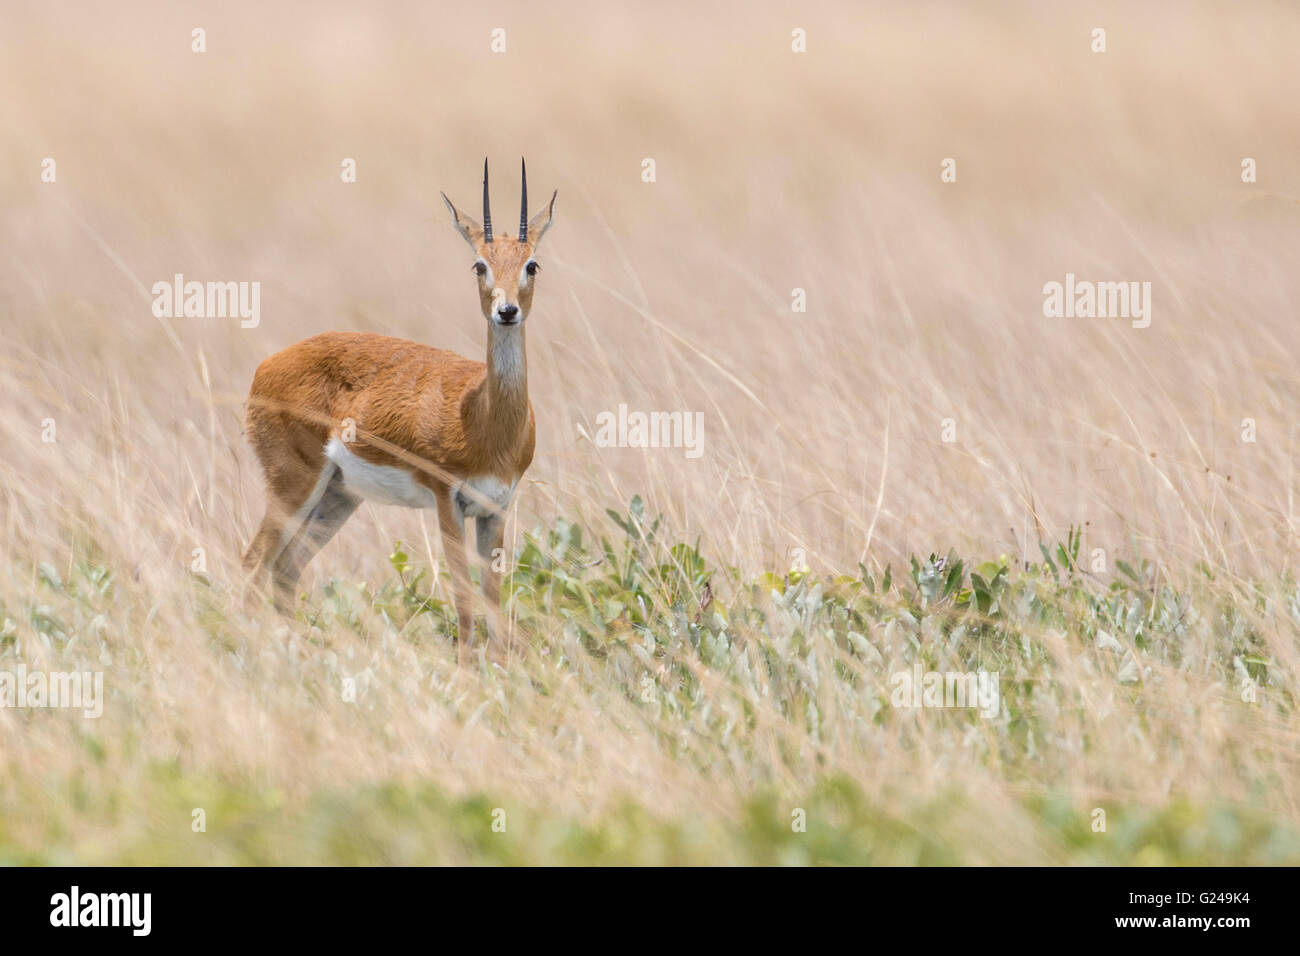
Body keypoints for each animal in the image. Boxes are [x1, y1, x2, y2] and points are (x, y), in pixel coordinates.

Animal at [241, 158, 556, 650]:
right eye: (479, 264)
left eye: (531, 264)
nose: (506, 311)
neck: (482, 420)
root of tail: (266, 366)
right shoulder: (449, 501)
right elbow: (463, 598)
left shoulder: (496, 509)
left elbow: (492, 601)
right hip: (294, 484)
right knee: (254, 562)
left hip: (337, 497)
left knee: (286, 569)